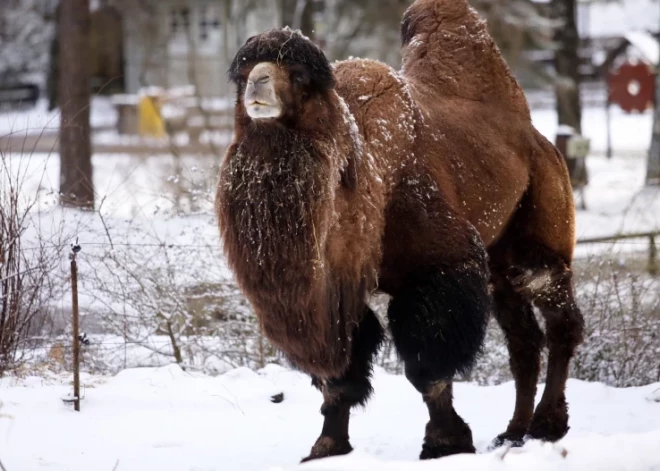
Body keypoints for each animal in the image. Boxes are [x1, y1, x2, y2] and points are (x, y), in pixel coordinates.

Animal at [217, 0, 584, 462]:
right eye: (243, 72)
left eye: (299, 76)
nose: (259, 84)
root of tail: (539, 139)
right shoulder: (336, 292)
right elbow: (340, 377)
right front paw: (326, 447)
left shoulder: (438, 266)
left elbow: (428, 369)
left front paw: (445, 443)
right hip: (501, 264)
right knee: (523, 341)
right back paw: (513, 433)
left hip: (543, 227)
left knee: (558, 316)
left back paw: (547, 427)